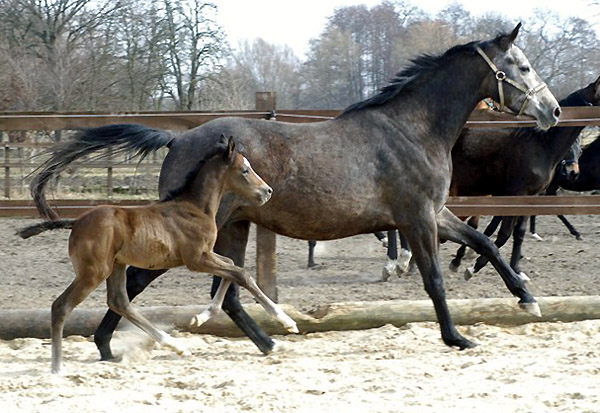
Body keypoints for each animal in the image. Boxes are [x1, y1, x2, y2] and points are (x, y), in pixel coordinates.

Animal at [19, 135, 298, 374]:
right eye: (245, 170)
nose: (267, 192)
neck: (195, 208)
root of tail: (76, 222)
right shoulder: (196, 259)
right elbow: (241, 273)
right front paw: (287, 321)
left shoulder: (207, 255)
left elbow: (232, 268)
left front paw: (201, 317)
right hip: (93, 272)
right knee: (61, 306)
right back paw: (57, 367)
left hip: (116, 266)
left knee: (119, 301)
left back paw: (176, 345)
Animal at [32, 25, 560, 358]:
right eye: (521, 66)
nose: (552, 111)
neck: (412, 129)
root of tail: (177, 138)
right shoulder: (418, 219)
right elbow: (433, 279)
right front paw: (457, 338)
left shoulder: (435, 213)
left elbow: (486, 242)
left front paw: (527, 299)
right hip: (200, 236)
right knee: (143, 282)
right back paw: (107, 345)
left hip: (233, 229)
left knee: (224, 293)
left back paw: (268, 342)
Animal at [448, 75, 596, 278]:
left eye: (579, 149)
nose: (572, 172)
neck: (541, 145)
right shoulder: (512, 194)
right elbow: (500, 232)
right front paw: (472, 265)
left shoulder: (525, 197)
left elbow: (516, 231)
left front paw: (515, 268)